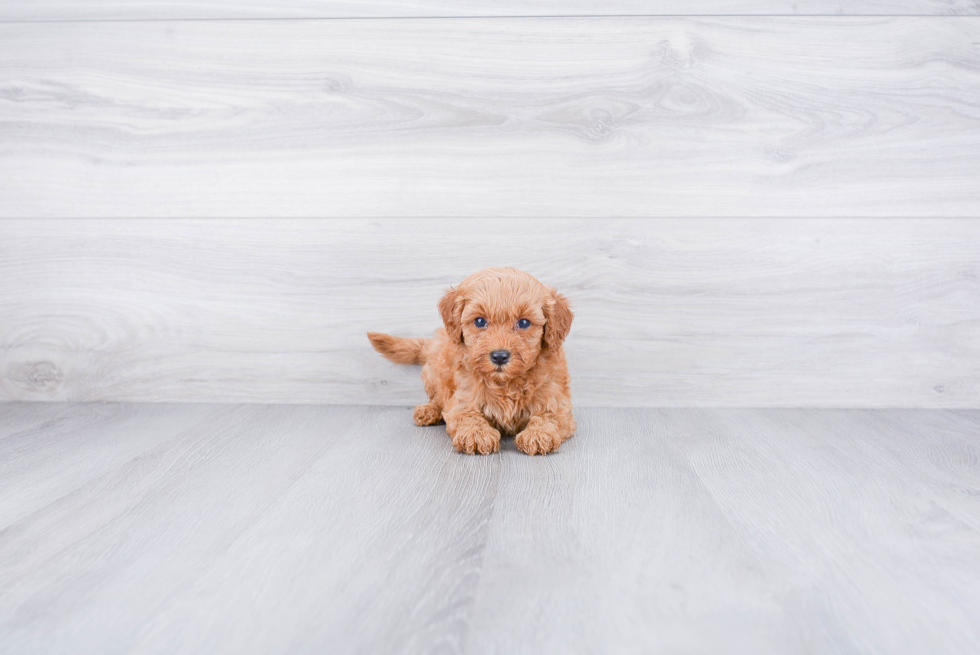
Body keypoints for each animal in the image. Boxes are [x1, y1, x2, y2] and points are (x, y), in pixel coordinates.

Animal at [368, 266, 576, 456]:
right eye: (479, 321)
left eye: (524, 323)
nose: (499, 356)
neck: (505, 383)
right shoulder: (463, 398)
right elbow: (468, 416)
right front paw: (476, 435)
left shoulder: (556, 401)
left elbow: (549, 417)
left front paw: (538, 434)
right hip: (432, 373)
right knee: (437, 397)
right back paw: (429, 411)